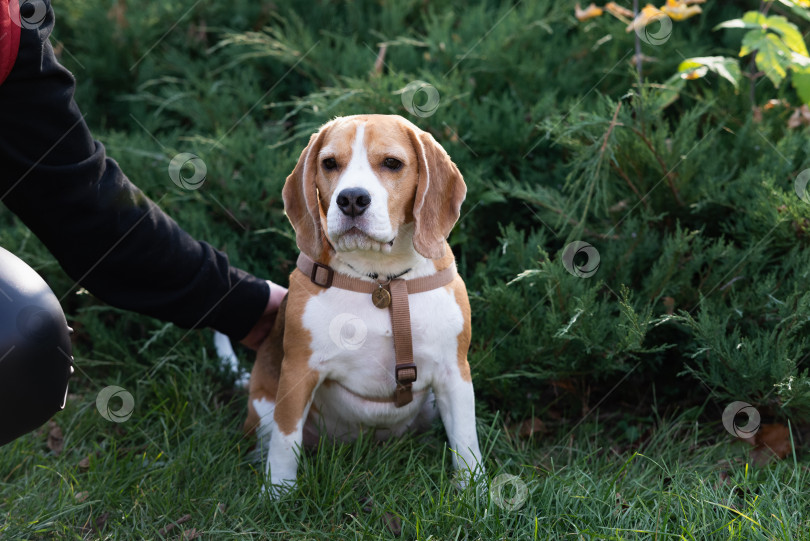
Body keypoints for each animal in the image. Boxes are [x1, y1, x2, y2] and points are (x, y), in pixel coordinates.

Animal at [246, 116, 482, 496]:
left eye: (392, 163)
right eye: (329, 163)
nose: (352, 199)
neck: (381, 282)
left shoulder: (454, 373)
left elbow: (466, 443)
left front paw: (479, 495)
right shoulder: (298, 372)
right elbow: (284, 441)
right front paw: (277, 494)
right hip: (264, 403)